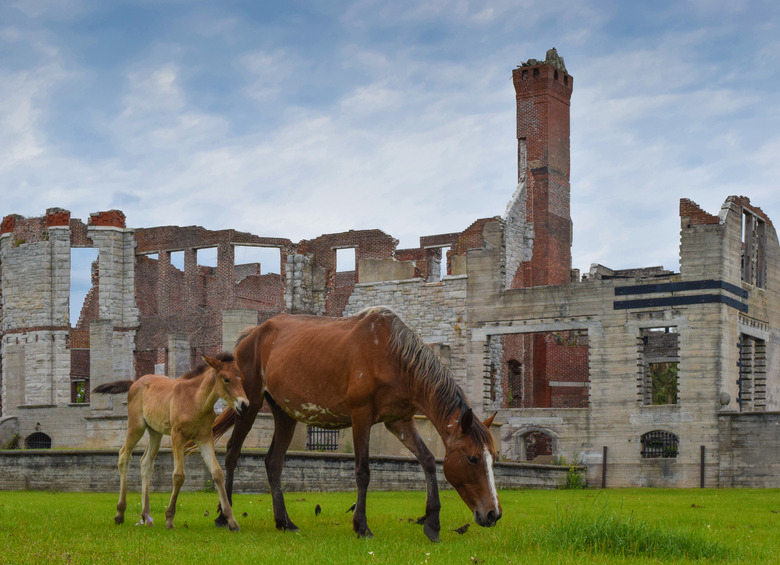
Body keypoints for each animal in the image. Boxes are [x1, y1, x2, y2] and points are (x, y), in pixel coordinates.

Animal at [93, 354, 250, 532]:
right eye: (226, 379)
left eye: (241, 378)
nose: (244, 405)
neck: (196, 401)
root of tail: (134, 382)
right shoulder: (177, 436)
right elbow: (178, 475)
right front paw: (169, 519)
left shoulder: (204, 437)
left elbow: (217, 472)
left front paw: (231, 521)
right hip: (136, 426)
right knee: (124, 456)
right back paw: (120, 513)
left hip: (155, 432)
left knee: (146, 463)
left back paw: (147, 517)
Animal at [210, 306, 502, 540]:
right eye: (473, 458)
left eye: (493, 458)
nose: (493, 514)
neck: (393, 356)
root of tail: (252, 335)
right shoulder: (361, 416)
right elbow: (363, 472)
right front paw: (361, 526)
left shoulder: (400, 421)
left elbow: (428, 461)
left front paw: (432, 523)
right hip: (249, 405)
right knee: (232, 453)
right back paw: (224, 517)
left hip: (285, 413)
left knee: (273, 463)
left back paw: (284, 522)